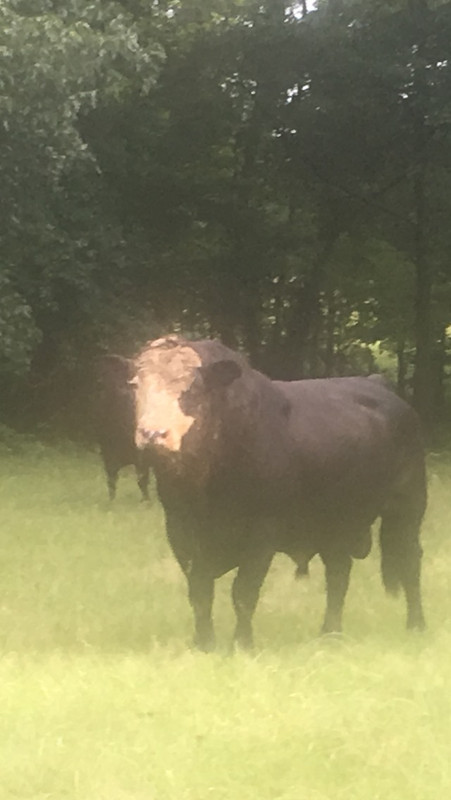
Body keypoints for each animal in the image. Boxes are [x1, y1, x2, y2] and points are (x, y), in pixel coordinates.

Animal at [96, 354, 151, 501]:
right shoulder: (107, 451)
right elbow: (111, 479)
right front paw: (111, 502)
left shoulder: (141, 455)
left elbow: (142, 479)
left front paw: (146, 502)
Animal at [128, 335, 426, 651]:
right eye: (135, 385)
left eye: (193, 388)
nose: (153, 434)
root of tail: (378, 384)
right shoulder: (181, 531)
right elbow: (200, 592)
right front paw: (204, 644)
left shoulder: (263, 531)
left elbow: (243, 592)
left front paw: (242, 644)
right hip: (332, 523)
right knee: (338, 572)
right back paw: (330, 633)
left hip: (408, 505)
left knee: (409, 559)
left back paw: (416, 625)